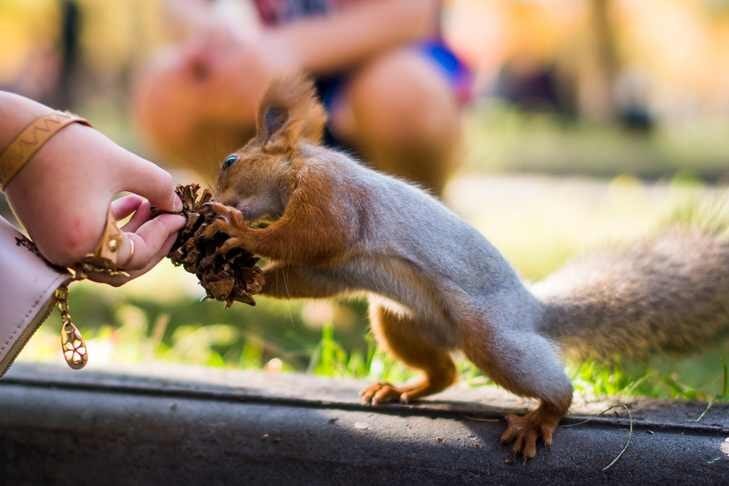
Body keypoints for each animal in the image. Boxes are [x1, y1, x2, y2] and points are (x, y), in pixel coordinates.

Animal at [202, 76, 728, 460]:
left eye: (229, 160)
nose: (212, 198)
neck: (298, 171)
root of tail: (532, 311)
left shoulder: (334, 198)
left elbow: (312, 234)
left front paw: (241, 231)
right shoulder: (334, 267)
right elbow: (307, 275)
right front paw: (249, 278)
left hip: (491, 338)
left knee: (555, 388)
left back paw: (540, 418)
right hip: (400, 322)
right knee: (446, 372)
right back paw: (402, 388)